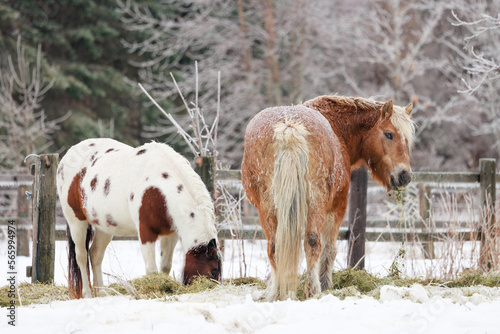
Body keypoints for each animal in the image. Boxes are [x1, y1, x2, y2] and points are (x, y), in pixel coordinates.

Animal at [56, 138, 221, 298]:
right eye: (214, 271)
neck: (159, 190)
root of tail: (66, 158)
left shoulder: (170, 233)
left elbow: (165, 266)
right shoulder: (146, 233)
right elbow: (152, 270)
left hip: (105, 227)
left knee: (95, 254)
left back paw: (101, 293)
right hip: (77, 222)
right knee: (82, 256)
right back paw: (88, 294)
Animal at [242, 94, 414, 300]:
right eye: (389, 134)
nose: (404, 176)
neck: (337, 129)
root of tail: (289, 127)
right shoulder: (337, 207)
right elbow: (329, 249)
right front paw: (325, 285)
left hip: (267, 208)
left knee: (275, 247)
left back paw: (278, 293)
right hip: (316, 204)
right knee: (312, 243)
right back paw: (313, 290)